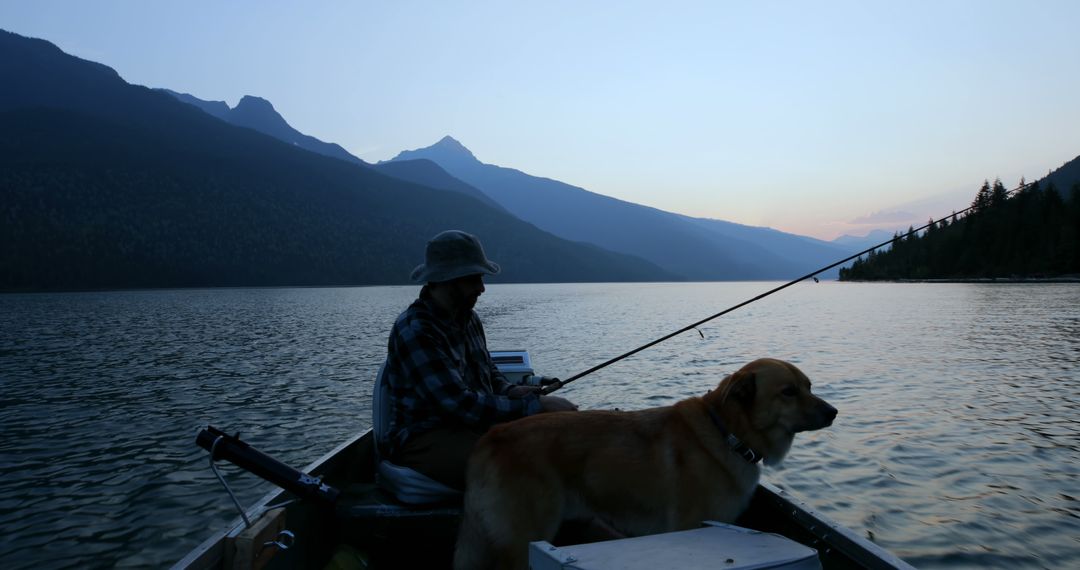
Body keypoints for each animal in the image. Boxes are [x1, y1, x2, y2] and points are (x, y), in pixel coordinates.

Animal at [451, 358, 838, 565]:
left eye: (809, 385)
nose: (833, 411)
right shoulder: (689, 526)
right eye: (789, 391)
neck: (727, 432)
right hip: (522, 538)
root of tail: (491, 437)